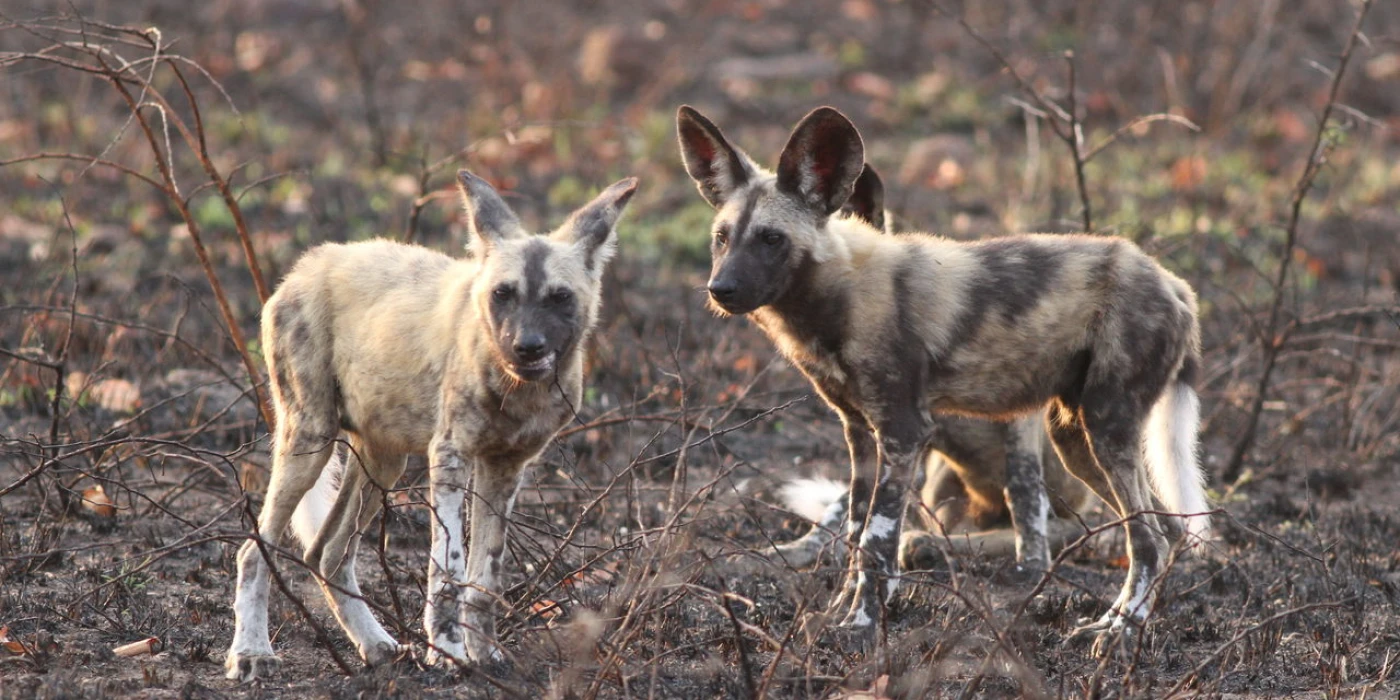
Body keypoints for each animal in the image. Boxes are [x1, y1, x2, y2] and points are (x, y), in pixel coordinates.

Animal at [225, 169, 641, 677]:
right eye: (503, 294)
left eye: (560, 297)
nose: (527, 346)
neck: (514, 390)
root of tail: (308, 263)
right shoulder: (450, 457)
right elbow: (449, 570)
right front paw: (446, 653)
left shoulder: (505, 468)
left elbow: (486, 578)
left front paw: (485, 655)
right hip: (310, 439)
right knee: (253, 550)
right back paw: (251, 652)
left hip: (384, 463)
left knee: (327, 554)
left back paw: (375, 645)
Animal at [677, 106, 1215, 652]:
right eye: (722, 237)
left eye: (772, 238)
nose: (720, 289)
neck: (836, 297)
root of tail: (1173, 283)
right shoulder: (861, 435)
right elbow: (853, 531)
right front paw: (834, 616)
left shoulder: (903, 432)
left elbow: (876, 540)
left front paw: (861, 628)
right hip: (1075, 439)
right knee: (1167, 532)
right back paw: (1126, 624)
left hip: (1104, 428)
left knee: (1147, 540)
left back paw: (1118, 634)